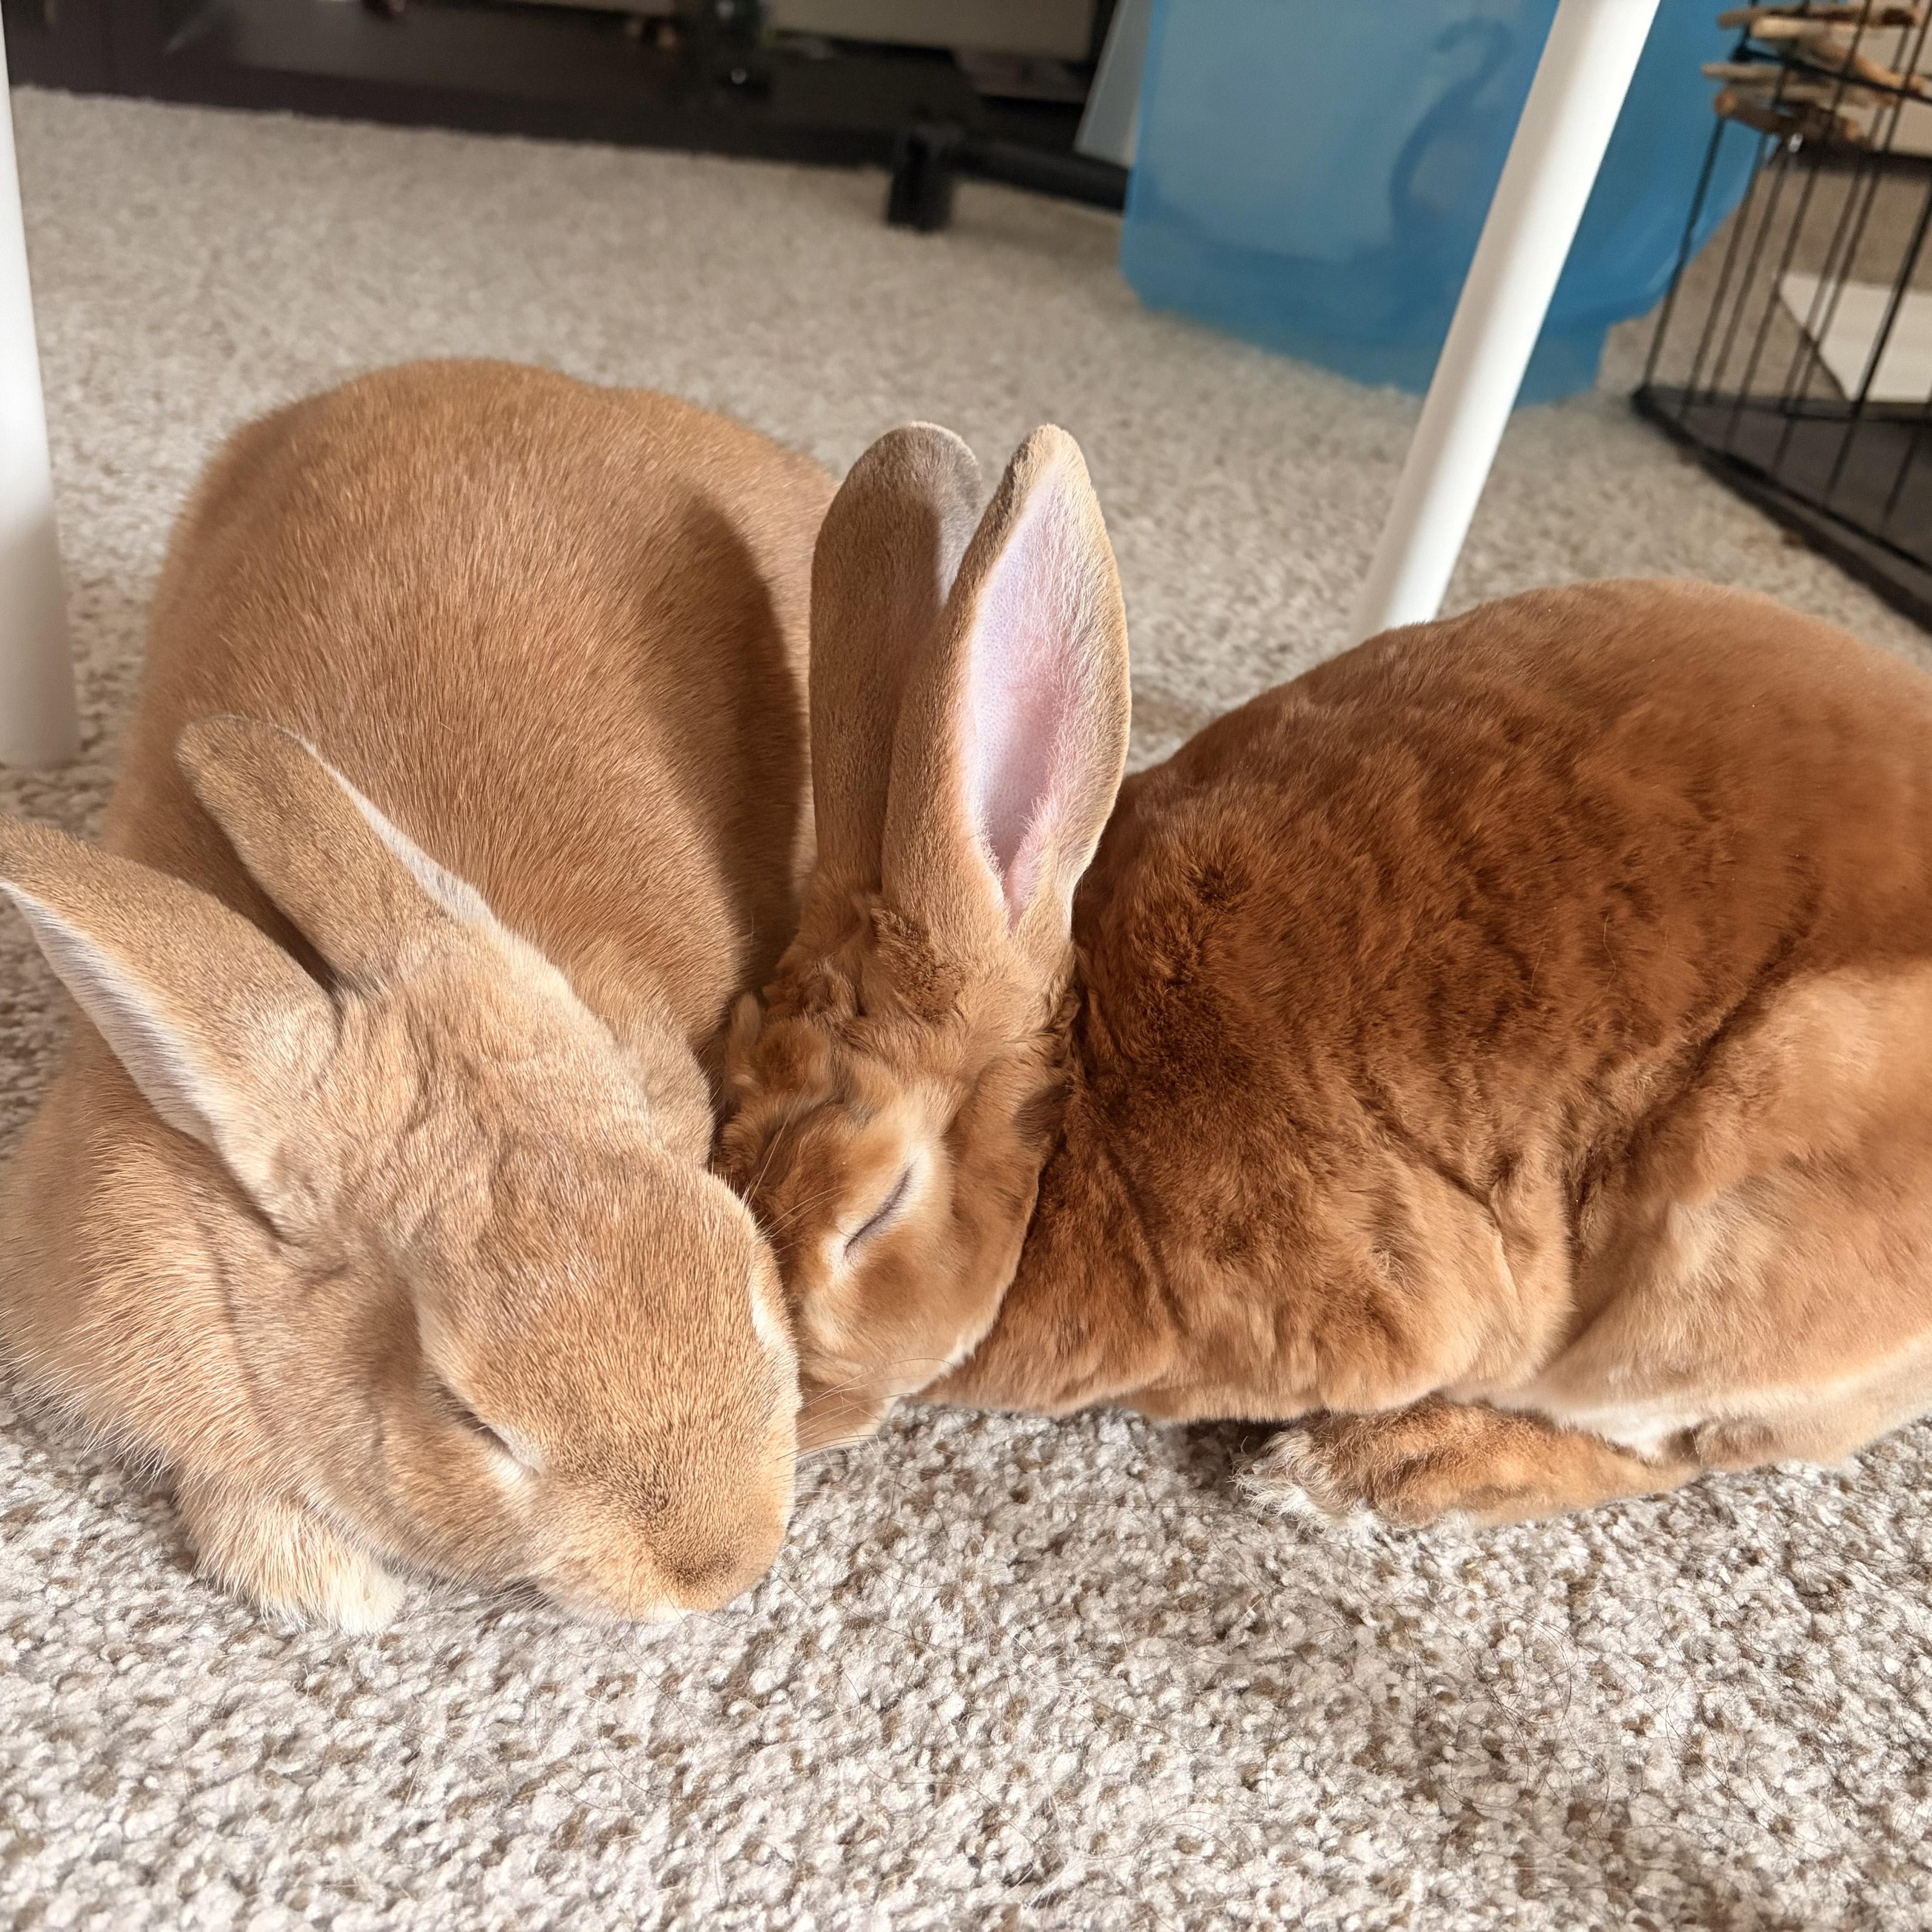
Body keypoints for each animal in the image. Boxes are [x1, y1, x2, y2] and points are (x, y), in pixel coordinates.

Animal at [717, 418, 1932, 1528]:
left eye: (876, 1216)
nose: (784, 1436)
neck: (1072, 1115)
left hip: (1708, 1260)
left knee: (1680, 1448)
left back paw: (1368, 1468)